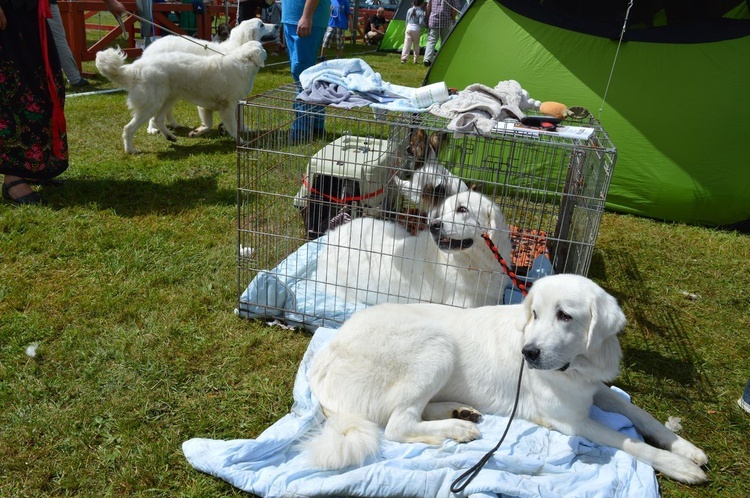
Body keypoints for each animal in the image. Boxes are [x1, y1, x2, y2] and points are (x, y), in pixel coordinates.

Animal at [96, 42, 268, 153]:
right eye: (262, 47)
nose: (267, 49)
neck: (242, 62)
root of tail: (135, 68)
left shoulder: (209, 106)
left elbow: (211, 125)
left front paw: (197, 132)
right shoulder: (227, 106)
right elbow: (232, 126)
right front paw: (241, 142)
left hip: (167, 100)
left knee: (158, 119)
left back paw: (170, 136)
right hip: (152, 105)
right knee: (129, 128)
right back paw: (131, 150)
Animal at [306, 274, 712, 484]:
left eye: (565, 316)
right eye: (534, 314)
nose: (528, 353)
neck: (575, 365)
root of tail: (321, 361)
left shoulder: (594, 388)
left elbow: (641, 414)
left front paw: (685, 448)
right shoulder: (572, 421)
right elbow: (630, 442)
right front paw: (680, 466)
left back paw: (459, 412)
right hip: (436, 345)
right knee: (398, 424)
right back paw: (457, 428)